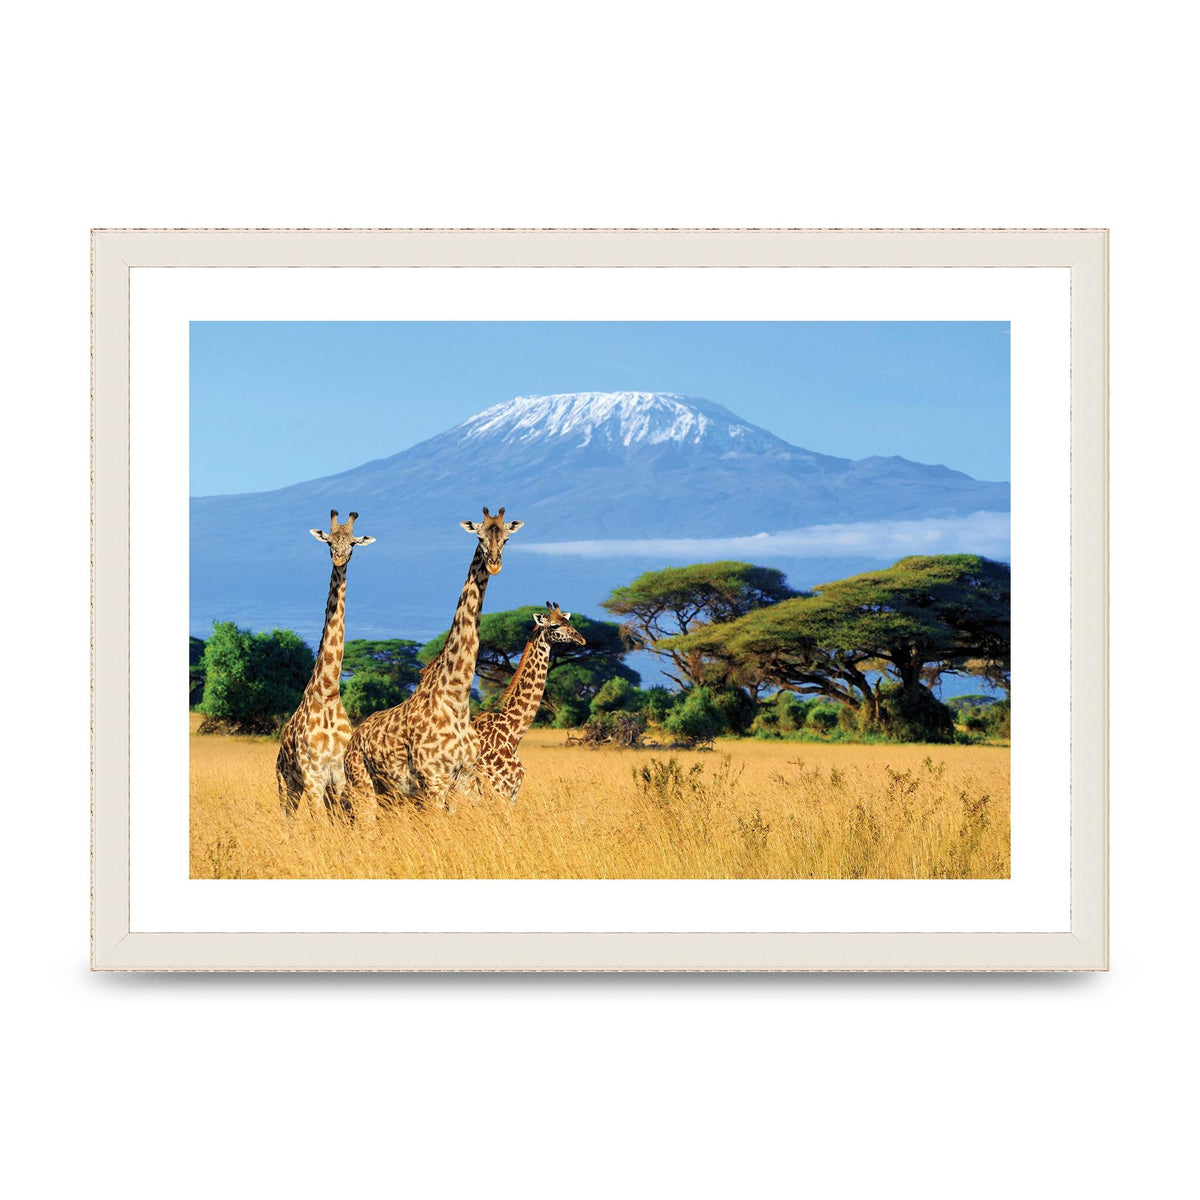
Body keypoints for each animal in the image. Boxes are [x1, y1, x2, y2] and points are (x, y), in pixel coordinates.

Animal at [275, 510, 375, 817]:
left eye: (353, 543)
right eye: (329, 542)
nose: (339, 558)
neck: (328, 692)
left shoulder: (339, 776)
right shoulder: (313, 776)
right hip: (286, 783)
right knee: (287, 818)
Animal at [343, 506, 523, 812]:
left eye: (507, 538)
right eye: (479, 537)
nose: (494, 564)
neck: (457, 698)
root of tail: (353, 739)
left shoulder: (464, 780)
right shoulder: (434, 780)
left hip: (391, 795)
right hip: (363, 787)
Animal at [472, 602, 585, 801]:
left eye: (568, 622)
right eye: (554, 625)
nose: (582, 640)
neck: (512, 734)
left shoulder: (512, 794)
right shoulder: (499, 792)